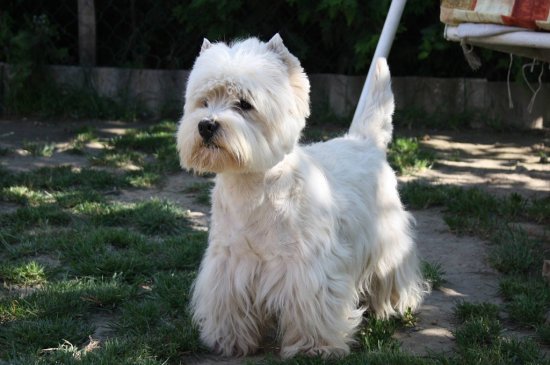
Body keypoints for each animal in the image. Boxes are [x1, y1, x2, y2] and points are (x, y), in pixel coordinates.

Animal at [177, 32, 426, 356]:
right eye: (203, 101)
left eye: (244, 104)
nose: (206, 125)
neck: (252, 187)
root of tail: (365, 142)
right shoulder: (229, 263)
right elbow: (229, 303)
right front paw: (228, 340)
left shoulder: (308, 268)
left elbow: (311, 307)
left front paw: (314, 347)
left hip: (387, 234)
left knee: (393, 271)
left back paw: (394, 305)